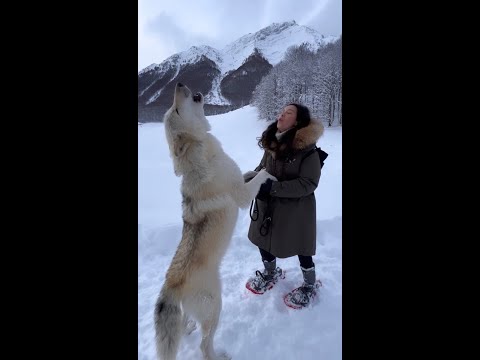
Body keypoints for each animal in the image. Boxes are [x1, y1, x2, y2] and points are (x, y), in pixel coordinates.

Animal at [154, 83, 274, 358]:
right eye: (177, 109)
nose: (178, 83)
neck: (202, 156)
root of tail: (170, 287)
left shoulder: (240, 180)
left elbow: (248, 173)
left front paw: (254, 169)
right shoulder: (242, 196)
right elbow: (259, 177)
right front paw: (269, 172)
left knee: (186, 326)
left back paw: (187, 327)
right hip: (215, 307)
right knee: (204, 345)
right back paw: (219, 354)